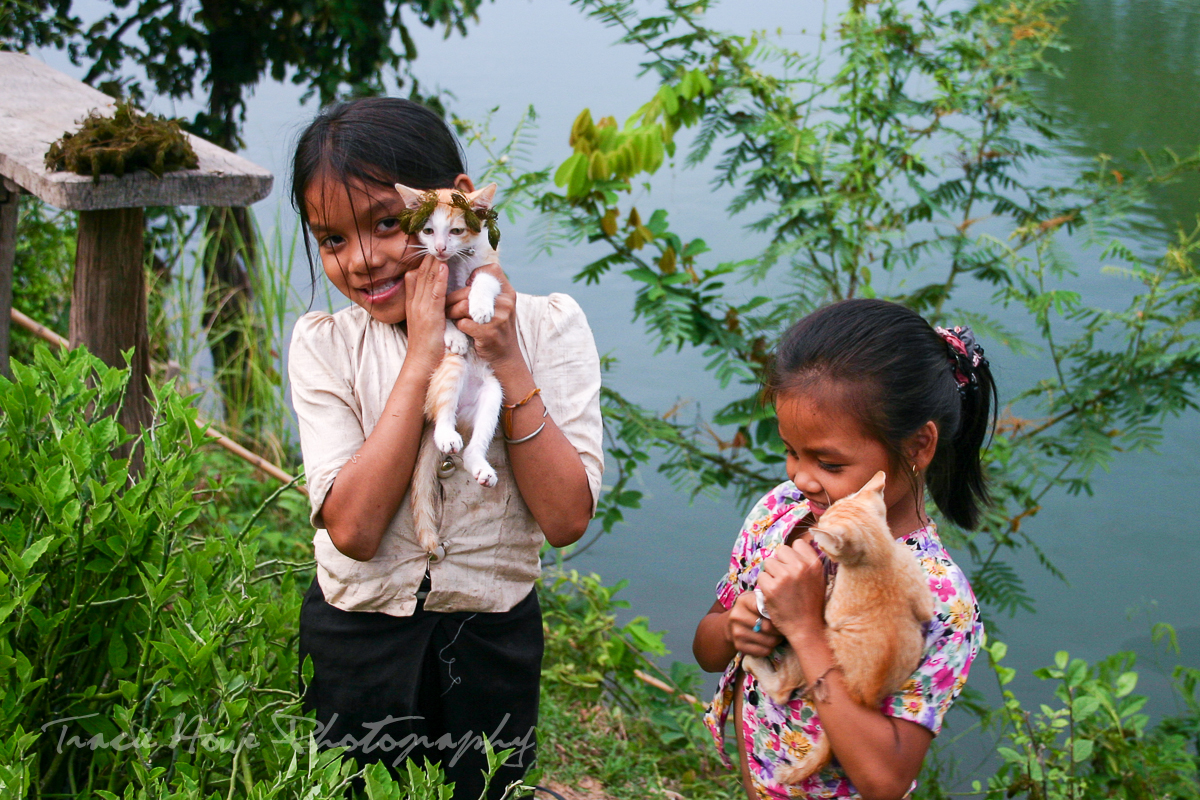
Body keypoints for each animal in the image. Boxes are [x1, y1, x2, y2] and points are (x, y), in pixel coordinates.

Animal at [396, 181, 504, 556]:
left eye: (456, 231)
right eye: (428, 230)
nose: (440, 248)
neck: (455, 263)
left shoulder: (491, 267)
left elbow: (485, 280)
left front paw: (480, 306)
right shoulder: (423, 287)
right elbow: (438, 312)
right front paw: (455, 333)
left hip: (493, 392)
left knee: (474, 444)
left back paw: (479, 465)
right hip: (449, 373)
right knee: (443, 412)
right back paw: (445, 432)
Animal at [739, 472, 936, 786]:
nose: (816, 528)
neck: (881, 554)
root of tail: (865, 696)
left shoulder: (833, 614)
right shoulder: (921, 596)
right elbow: (924, 609)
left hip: (814, 650)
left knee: (782, 688)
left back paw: (753, 662)